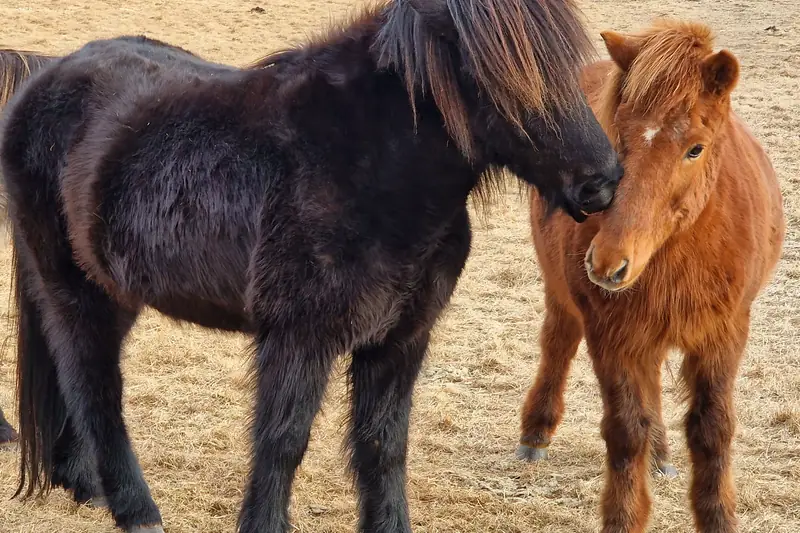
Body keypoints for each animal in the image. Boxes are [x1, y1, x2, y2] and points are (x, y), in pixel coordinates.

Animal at [0, 0, 623, 531]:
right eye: (502, 76)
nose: (602, 181)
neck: (371, 170)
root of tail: (42, 82)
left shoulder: (400, 339)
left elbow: (383, 446)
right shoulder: (301, 336)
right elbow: (282, 443)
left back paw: (83, 484)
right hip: (76, 291)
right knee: (93, 385)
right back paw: (135, 509)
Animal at [516, 19, 784, 533]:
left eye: (695, 149)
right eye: (616, 138)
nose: (608, 263)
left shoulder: (724, 335)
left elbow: (712, 430)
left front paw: (717, 516)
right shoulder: (611, 335)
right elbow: (625, 430)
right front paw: (624, 517)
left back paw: (661, 453)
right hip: (566, 297)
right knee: (558, 341)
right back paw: (535, 434)